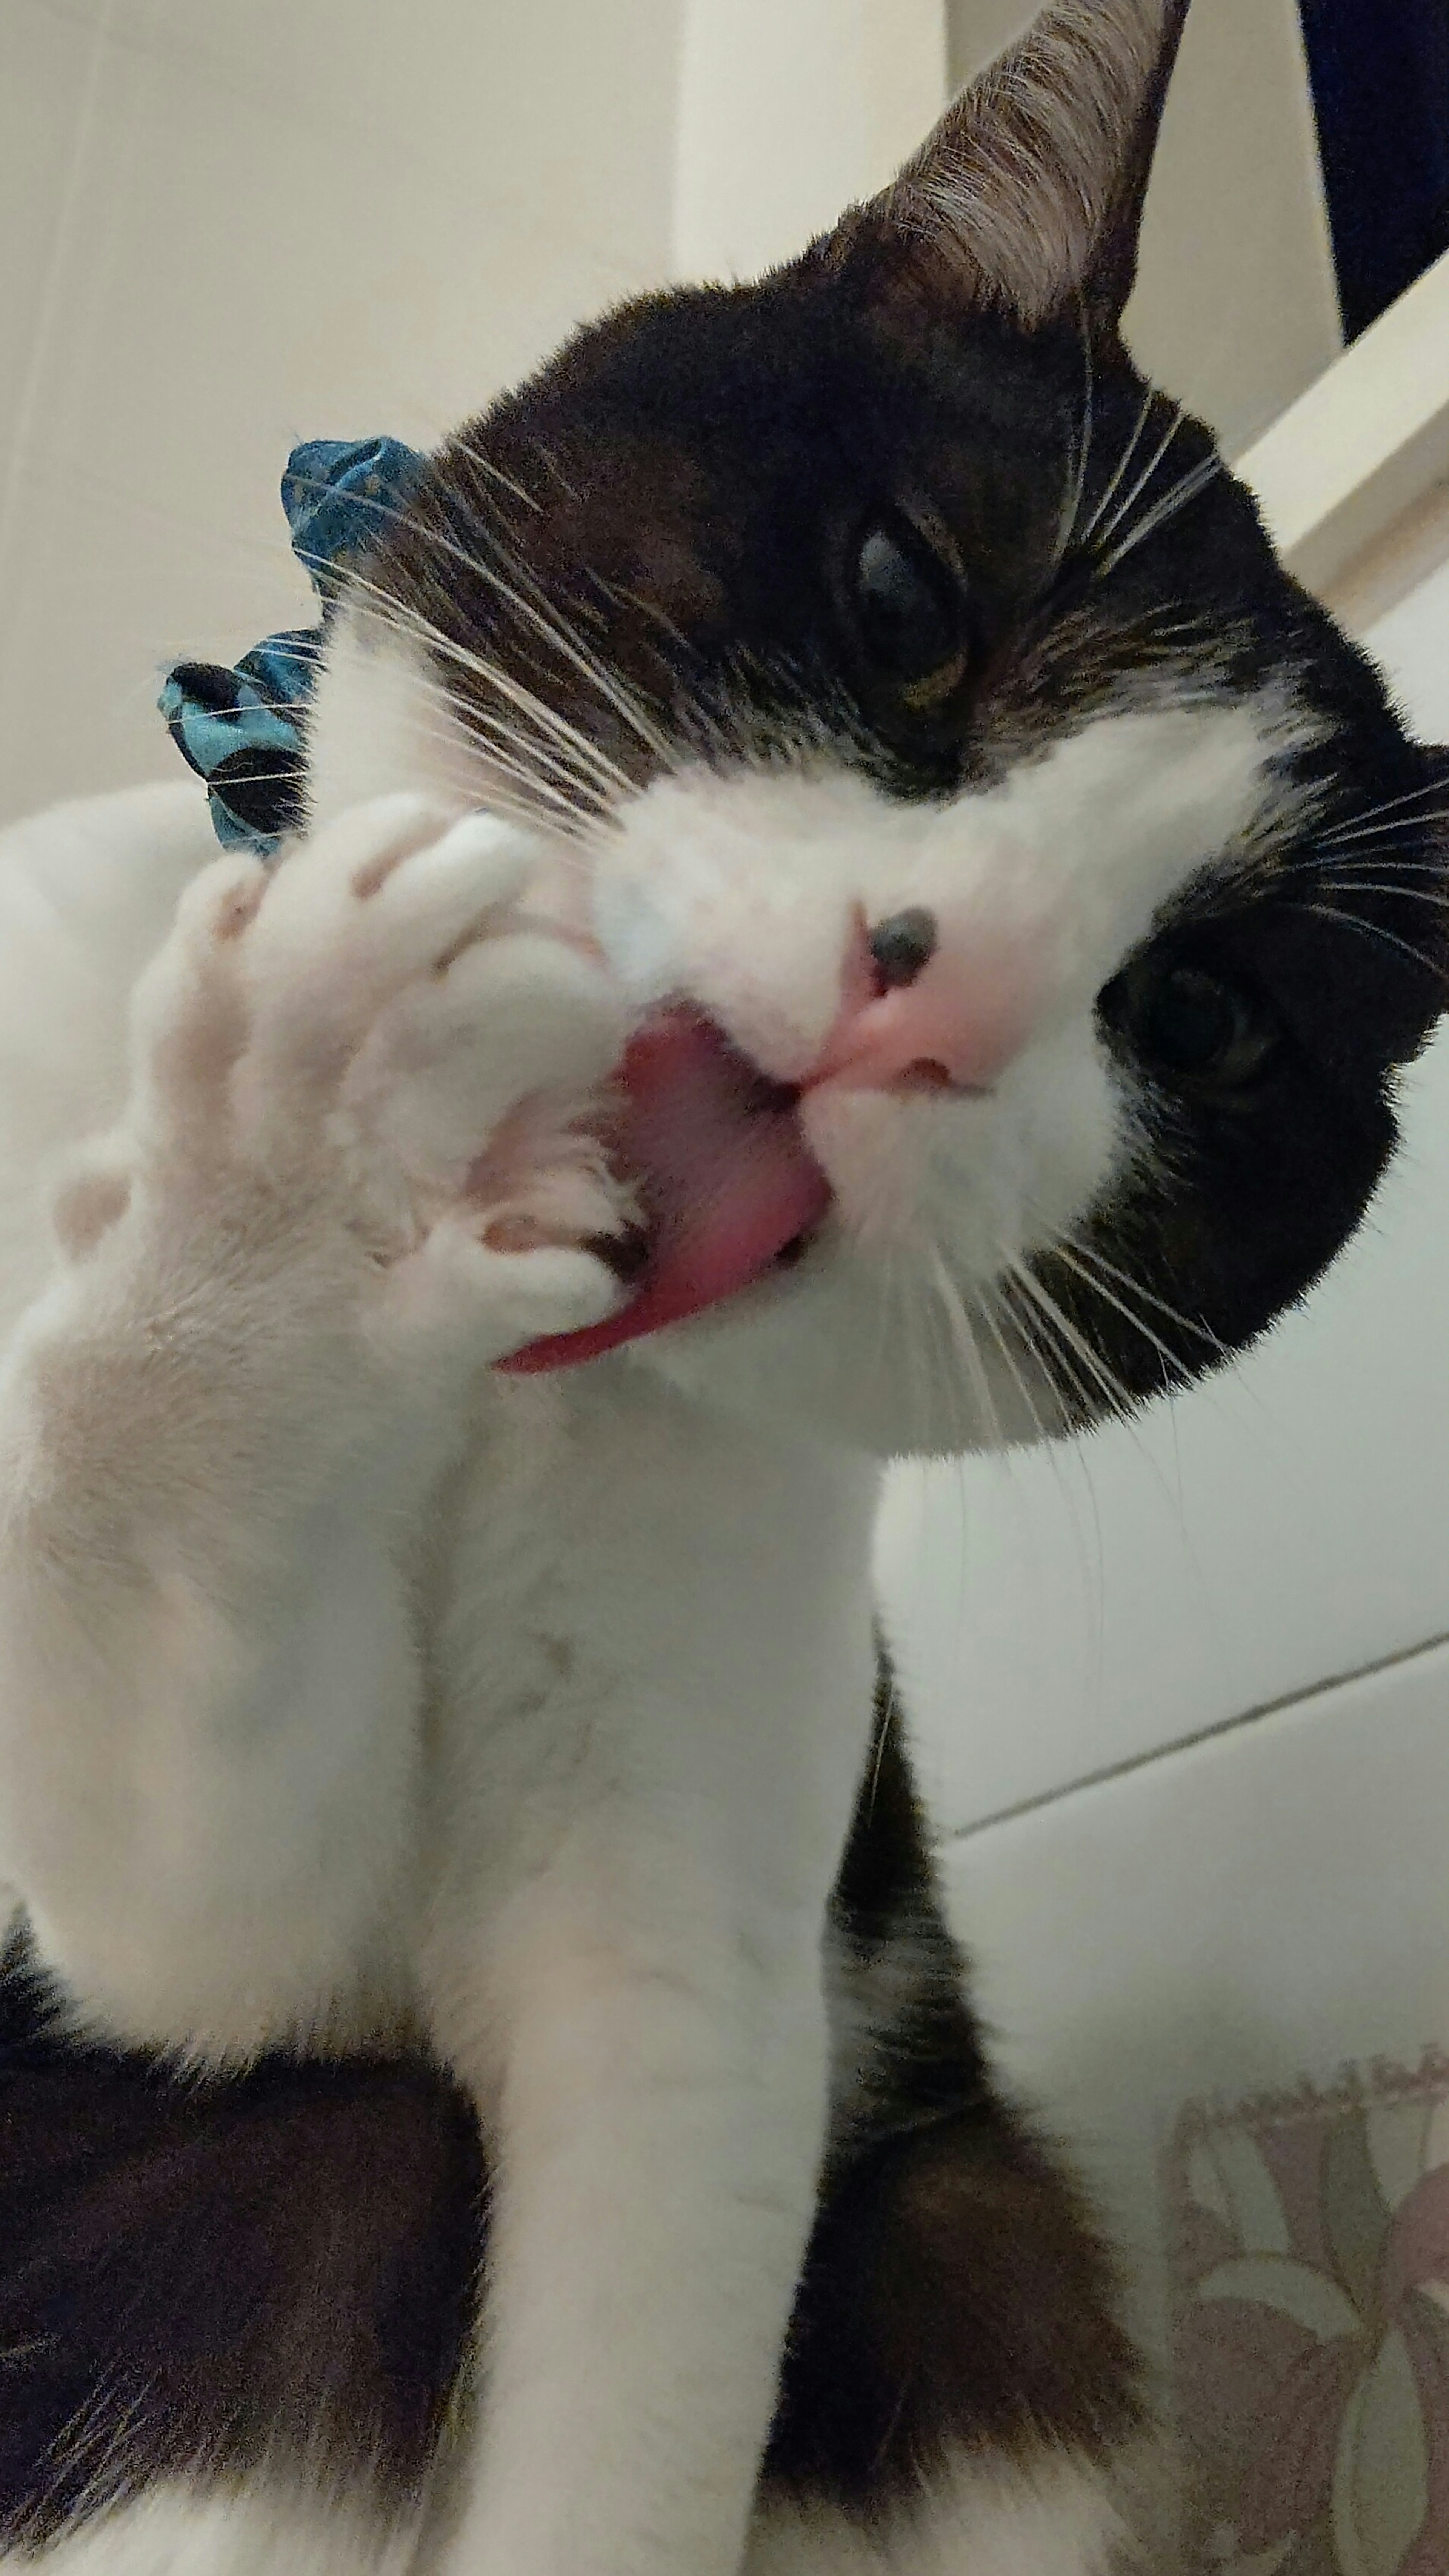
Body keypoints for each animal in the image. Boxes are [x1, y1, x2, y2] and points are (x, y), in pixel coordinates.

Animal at [0, 5, 1441, 2576]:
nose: (924, 987)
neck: (509, 1350)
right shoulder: (187, 1963)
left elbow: (622, 2298)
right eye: (899, 601)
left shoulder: (682, 1926)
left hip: (969, 2259)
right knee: (317, 2173)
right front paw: (299, 1150)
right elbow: (203, 1931)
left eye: (1199, 1017)